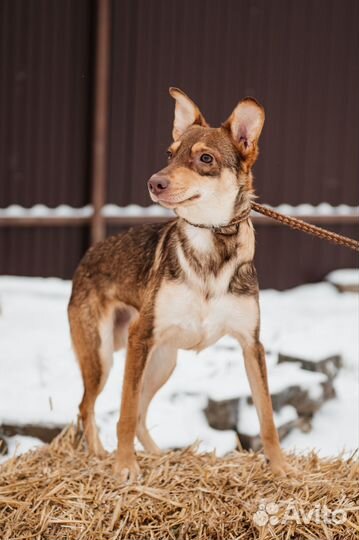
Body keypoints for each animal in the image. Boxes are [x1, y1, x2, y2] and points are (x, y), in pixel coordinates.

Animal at [68, 87, 292, 480]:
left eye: (205, 158)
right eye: (169, 154)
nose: (154, 182)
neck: (211, 243)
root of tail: (89, 255)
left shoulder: (252, 345)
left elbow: (267, 417)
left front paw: (279, 467)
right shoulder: (140, 335)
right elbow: (124, 413)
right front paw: (124, 467)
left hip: (161, 361)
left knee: (141, 414)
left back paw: (157, 455)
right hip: (104, 356)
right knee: (89, 407)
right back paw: (98, 455)